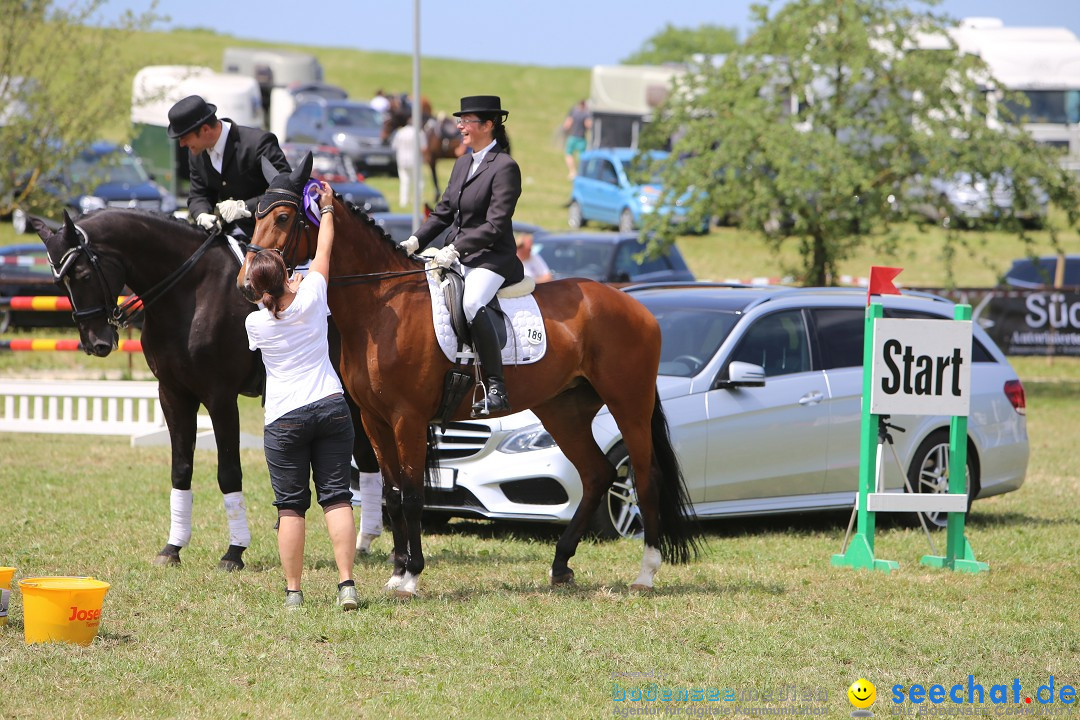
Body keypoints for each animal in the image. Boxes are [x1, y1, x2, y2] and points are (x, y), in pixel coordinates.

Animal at [34, 208, 380, 569]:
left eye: (84, 275)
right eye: (58, 283)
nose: (95, 343)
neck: (189, 294)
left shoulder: (220, 396)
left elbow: (228, 472)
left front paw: (235, 551)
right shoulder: (172, 393)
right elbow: (180, 470)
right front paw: (172, 548)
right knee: (367, 459)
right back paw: (364, 540)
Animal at [238, 161, 699, 595]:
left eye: (283, 216)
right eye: (254, 213)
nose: (247, 284)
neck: (382, 305)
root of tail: (636, 306)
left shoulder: (408, 418)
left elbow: (412, 495)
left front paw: (411, 576)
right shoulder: (374, 419)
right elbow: (391, 494)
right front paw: (397, 572)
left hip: (629, 404)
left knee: (644, 477)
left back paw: (646, 573)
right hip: (563, 410)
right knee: (597, 474)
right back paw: (560, 565)